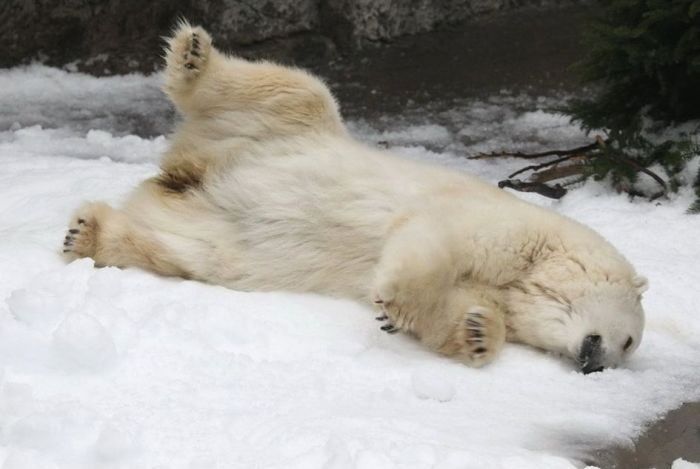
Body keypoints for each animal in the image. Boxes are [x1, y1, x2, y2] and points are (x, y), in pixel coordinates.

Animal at [63, 21, 648, 372]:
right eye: (629, 341)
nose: (598, 364)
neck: (542, 260)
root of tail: (182, 175)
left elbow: (464, 308)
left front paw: (476, 332)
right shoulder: (501, 227)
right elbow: (430, 242)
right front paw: (399, 300)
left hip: (216, 234)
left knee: (186, 254)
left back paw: (89, 233)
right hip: (281, 132)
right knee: (294, 90)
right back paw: (193, 55)